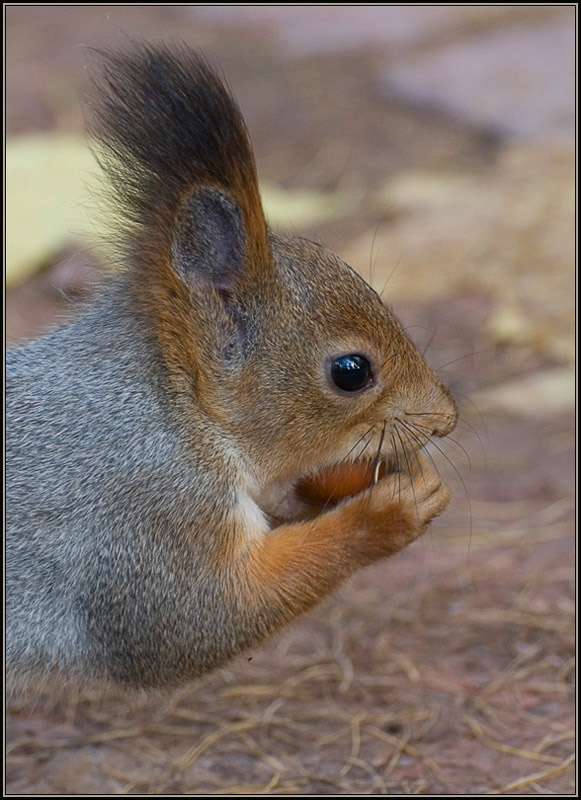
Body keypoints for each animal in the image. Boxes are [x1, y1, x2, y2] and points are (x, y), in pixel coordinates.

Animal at [6, 44, 457, 692]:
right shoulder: (144, 517)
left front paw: (360, 477)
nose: (445, 419)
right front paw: (386, 513)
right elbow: (198, 624)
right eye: (351, 371)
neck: (180, 411)